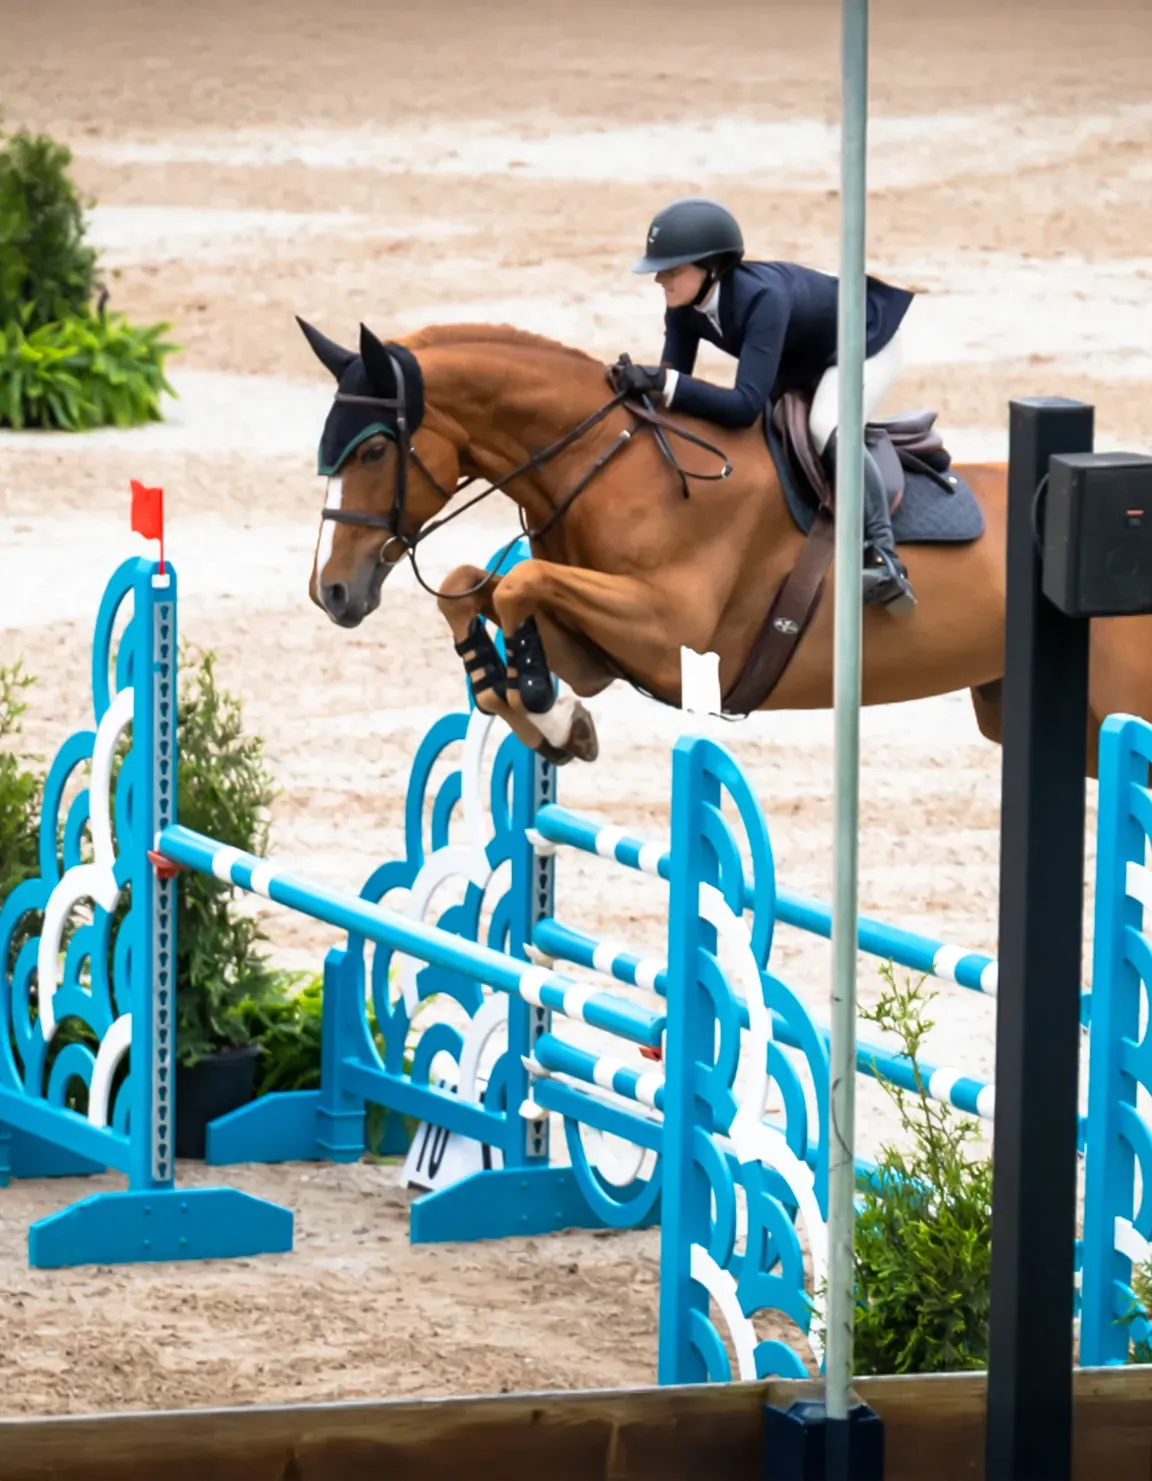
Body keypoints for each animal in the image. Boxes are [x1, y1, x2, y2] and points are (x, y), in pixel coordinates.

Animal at [299, 317, 1152, 776]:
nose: (331, 592)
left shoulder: (671, 630)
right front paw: (546, 713)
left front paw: (539, 698)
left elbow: (515, 585)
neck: (609, 460)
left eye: (372, 450)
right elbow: (478, 581)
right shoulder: (603, 649)